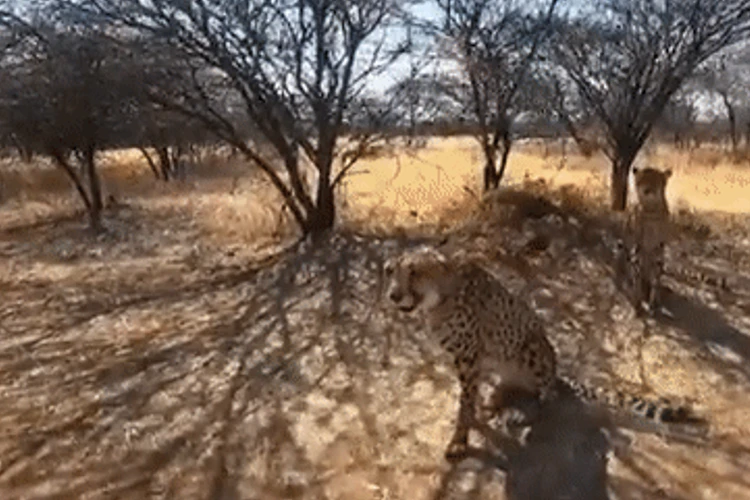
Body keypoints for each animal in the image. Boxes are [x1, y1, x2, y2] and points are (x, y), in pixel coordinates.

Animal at [383, 245, 703, 461]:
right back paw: (495, 399)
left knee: (547, 396)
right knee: (509, 387)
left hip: (533, 348)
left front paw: (460, 440)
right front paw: (472, 416)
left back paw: (527, 415)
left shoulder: (470, 358)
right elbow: (467, 397)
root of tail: (557, 373)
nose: (393, 295)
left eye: (415, 272)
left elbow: (465, 401)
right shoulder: (468, 361)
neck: (440, 299)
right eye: (391, 271)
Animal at [615, 166, 728, 317]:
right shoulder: (636, 246)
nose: (646, 190)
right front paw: (637, 304)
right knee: (627, 272)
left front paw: (653, 304)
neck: (650, 210)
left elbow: (656, 279)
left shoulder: (659, 247)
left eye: (656, 180)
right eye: (641, 180)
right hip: (622, 249)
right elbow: (636, 274)